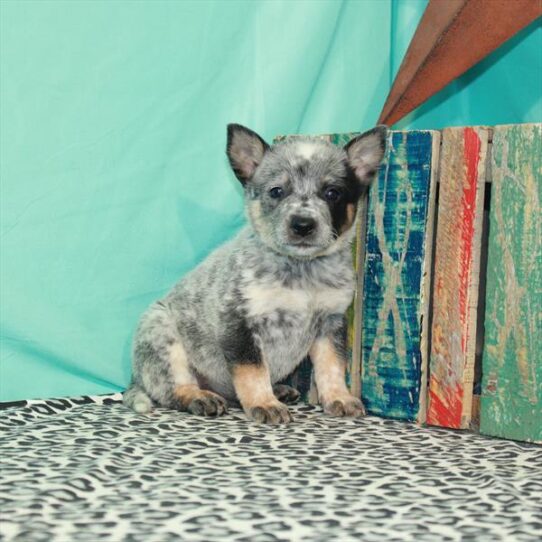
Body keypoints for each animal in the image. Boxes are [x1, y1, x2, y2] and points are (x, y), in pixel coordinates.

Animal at [124, 124, 386, 424]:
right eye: (276, 191)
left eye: (332, 193)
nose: (303, 224)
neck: (302, 274)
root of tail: (135, 379)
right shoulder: (239, 322)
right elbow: (253, 370)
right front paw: (264, 403)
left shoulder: (331, 322)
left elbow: (331, 366)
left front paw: (338, 397)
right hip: (162, 335)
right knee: (173, 389)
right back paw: (201, 397)